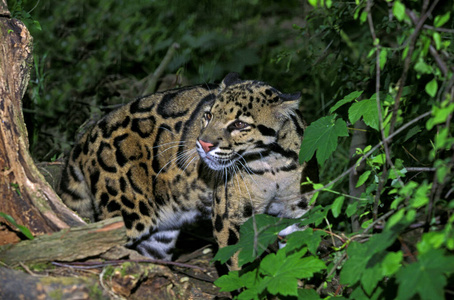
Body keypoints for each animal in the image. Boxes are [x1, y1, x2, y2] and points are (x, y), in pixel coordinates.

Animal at [57, 73, 320, 270]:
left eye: (239, 124)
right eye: (208, 115)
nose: (203, 144)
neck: (272, 165)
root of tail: (86, 138)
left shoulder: (298, 212)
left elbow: (298, 253)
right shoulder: (231, 218)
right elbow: (240, 265)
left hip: (158, 236)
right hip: (124, 212)